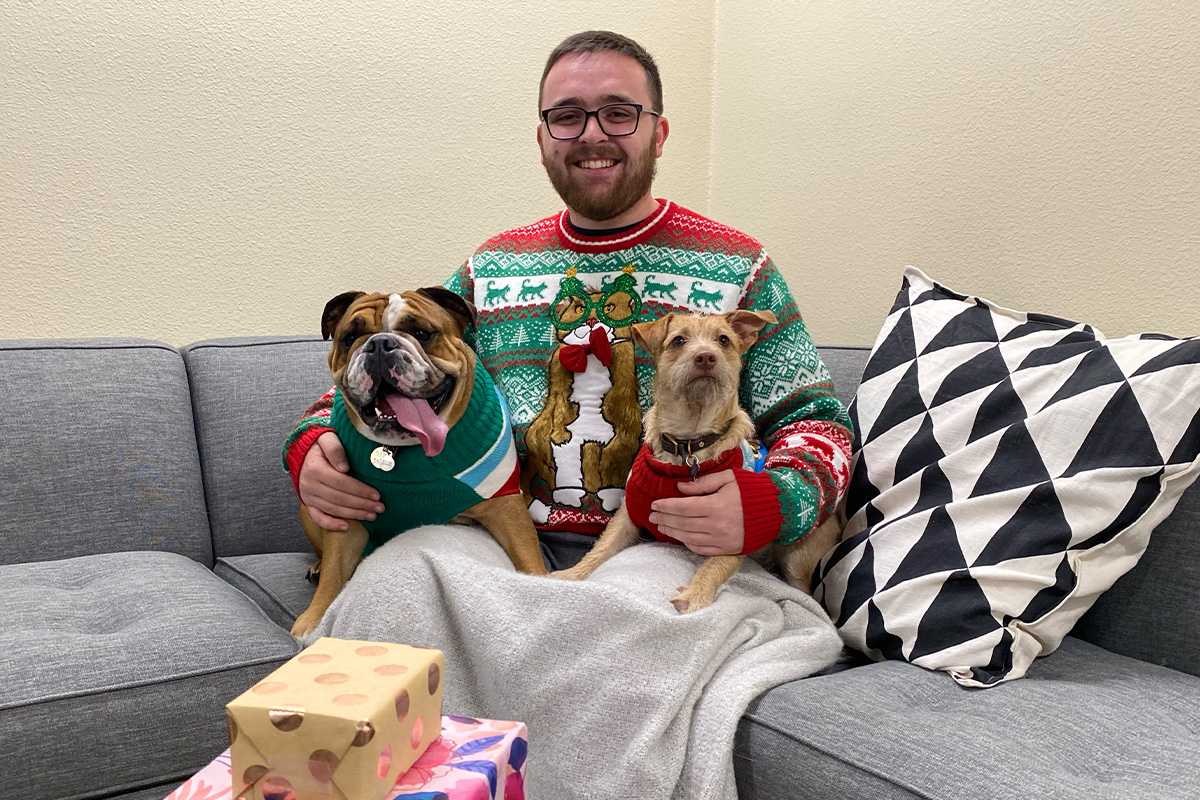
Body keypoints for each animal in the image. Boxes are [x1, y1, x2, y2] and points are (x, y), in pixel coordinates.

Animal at [554, 309, 844, 609]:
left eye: (724, 340)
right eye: (678, 340)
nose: (705, 356)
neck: (688, 441)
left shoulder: (733, 528)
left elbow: (715, 566)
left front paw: (695, 595)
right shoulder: (629, 514)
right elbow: (601, 547)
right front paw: (571, 574)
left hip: (797, 556)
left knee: (806, 593)